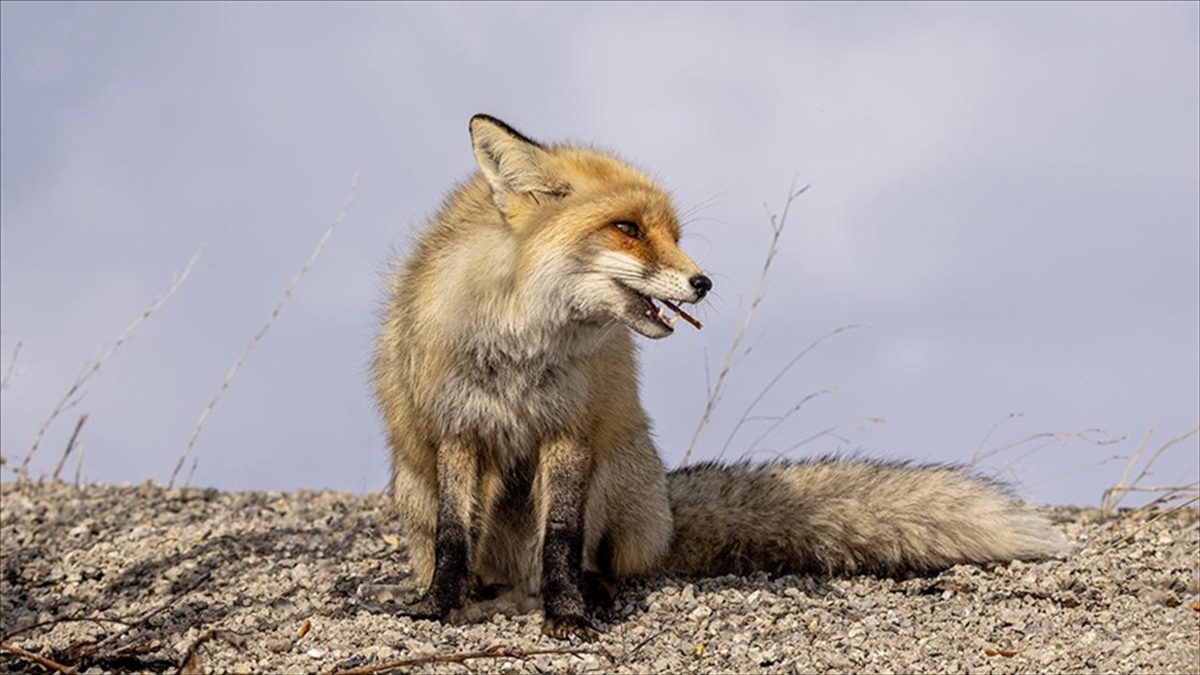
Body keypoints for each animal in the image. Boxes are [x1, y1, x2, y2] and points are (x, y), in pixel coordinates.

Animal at [374, 112, 1070, 638]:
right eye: (627, 229)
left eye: (674, 234)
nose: (703, 282)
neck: (523, 348)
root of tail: (666, 506)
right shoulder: (458, 431)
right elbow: (455, 537)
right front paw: (439, 605)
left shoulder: (571, 430)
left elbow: (562, 539)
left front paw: (568, 613)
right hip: (416, 487)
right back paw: (486, 592)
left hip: (619, 466)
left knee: (610, 560)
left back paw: (592, 590)